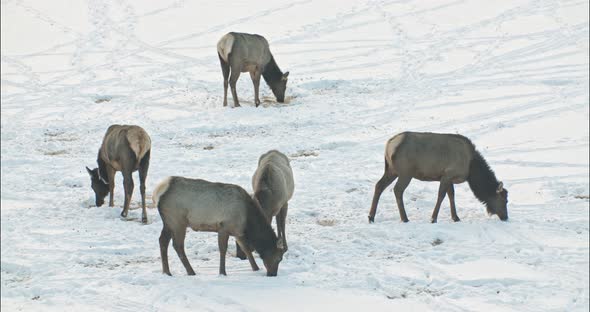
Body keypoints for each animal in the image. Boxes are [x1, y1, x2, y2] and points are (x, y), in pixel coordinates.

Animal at [155, 177, 286, 276]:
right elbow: (223, 249)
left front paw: (256, 268)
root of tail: (159, 193)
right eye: (279, 258)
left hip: (168, 223)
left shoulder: (237, 231)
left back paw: (167, 272)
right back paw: (191, 272)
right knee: (177, 245)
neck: (248, 219)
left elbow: (246, 249)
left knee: (162, 241)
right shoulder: (224, 227)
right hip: (178, 221)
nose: (272, 274)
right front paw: (222, 272)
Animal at [368, 130, 512, 223]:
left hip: (391, 170)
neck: (471, 169)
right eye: (504, 200)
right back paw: (404, 218)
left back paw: (371, 216)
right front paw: (433, 218)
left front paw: (455, 217)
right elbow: (441, 195)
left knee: (379, 185)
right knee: (397, 190)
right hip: (405, 172)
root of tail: (388, 145)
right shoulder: (448, 174)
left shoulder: (448, 177)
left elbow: (451, 195)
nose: (505, 217)